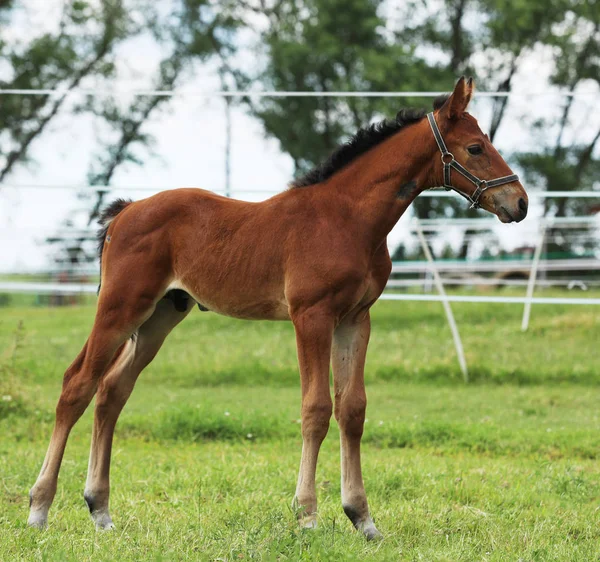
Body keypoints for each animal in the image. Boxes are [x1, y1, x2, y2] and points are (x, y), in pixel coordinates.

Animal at [28, 76, 528, 536]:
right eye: (475, 147)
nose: (519, 202)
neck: (347, 218)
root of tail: (125, 211)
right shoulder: (311, 316)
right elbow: (316, 409)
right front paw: (307, 515)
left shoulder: (355, 319)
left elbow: (352, 409)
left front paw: (362, 518)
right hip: (120, 306)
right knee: (77, 384)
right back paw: (39, 509)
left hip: (162, 314)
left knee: (112, 391)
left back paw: (100, 510)